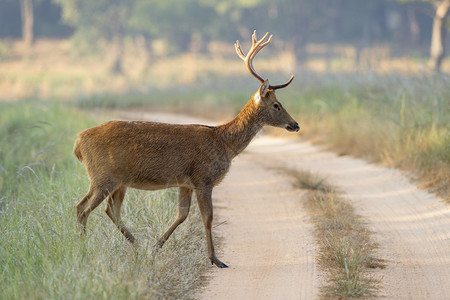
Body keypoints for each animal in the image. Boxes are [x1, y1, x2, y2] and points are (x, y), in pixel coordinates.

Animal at [73, 30, 298, 268]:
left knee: (109, 210)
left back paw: (136, 244)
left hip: (119, 181)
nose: (296, 125)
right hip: (103, 176)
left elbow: (181, 215)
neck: (224, 143)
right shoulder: (203, 178)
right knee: (82, 207)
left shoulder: (185, 182)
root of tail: (78, 142)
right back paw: (83, 249)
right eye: (277, 105)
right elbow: (207, 218)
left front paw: (156, 246)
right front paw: (215, 259)